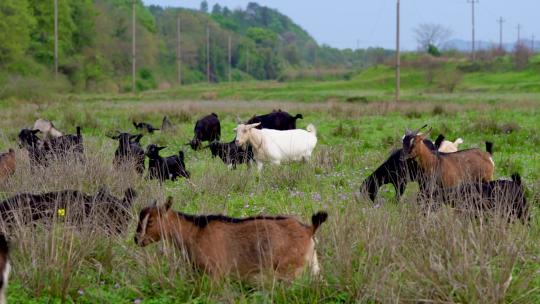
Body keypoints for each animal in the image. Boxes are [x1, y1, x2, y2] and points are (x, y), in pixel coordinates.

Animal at [135, 197, 330, 280]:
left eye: (150, 221)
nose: (137, 239)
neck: (194, 232)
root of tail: (309, 229)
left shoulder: (215, 273)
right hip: (312, 266)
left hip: (289, 270)